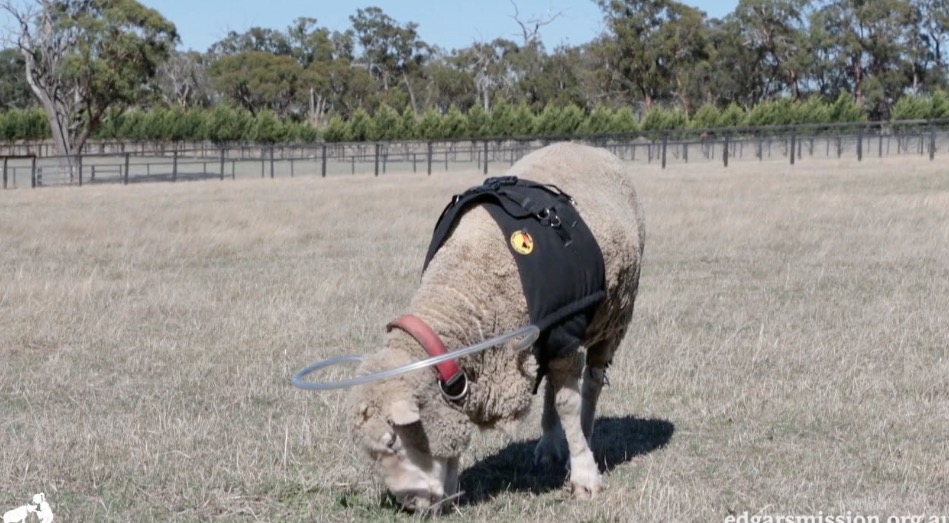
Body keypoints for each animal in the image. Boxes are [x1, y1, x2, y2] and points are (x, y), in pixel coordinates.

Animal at [345, 142, 645, 512]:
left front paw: (585, 477)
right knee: (553, 385)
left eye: (391, 441)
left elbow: (568, 404)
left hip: (613, 317)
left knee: (591, 384)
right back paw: (549, 446)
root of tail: (585, 146)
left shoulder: (564, 332)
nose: (412, 505)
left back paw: (585, 435)